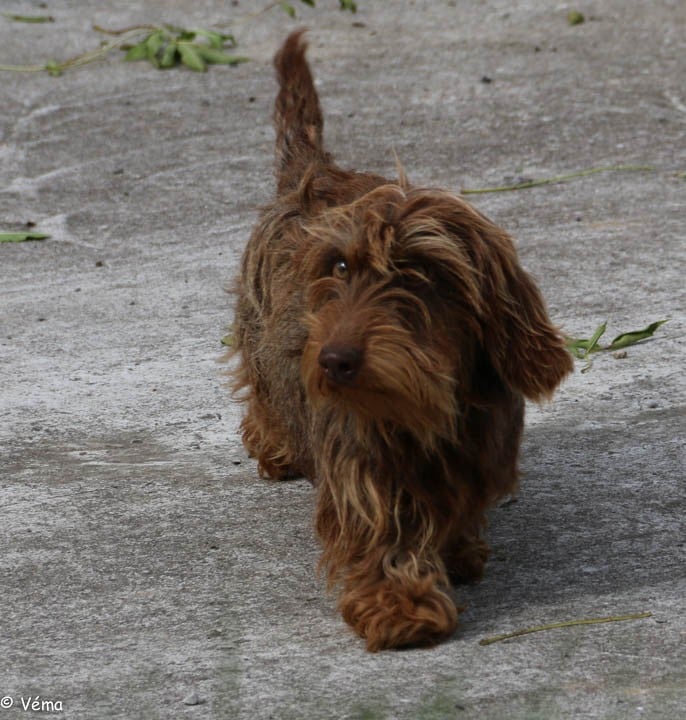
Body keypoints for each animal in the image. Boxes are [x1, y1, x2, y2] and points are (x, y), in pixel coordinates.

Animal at [231, 29, 576, 652]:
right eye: (339, 267)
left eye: (420, 276)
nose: (333, 361)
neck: (425, 408)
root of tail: (312, 172)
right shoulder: (362, 459)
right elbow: (383, 526)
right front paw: (401, 604)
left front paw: (458, 551)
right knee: (263, 390)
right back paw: (275, 445)